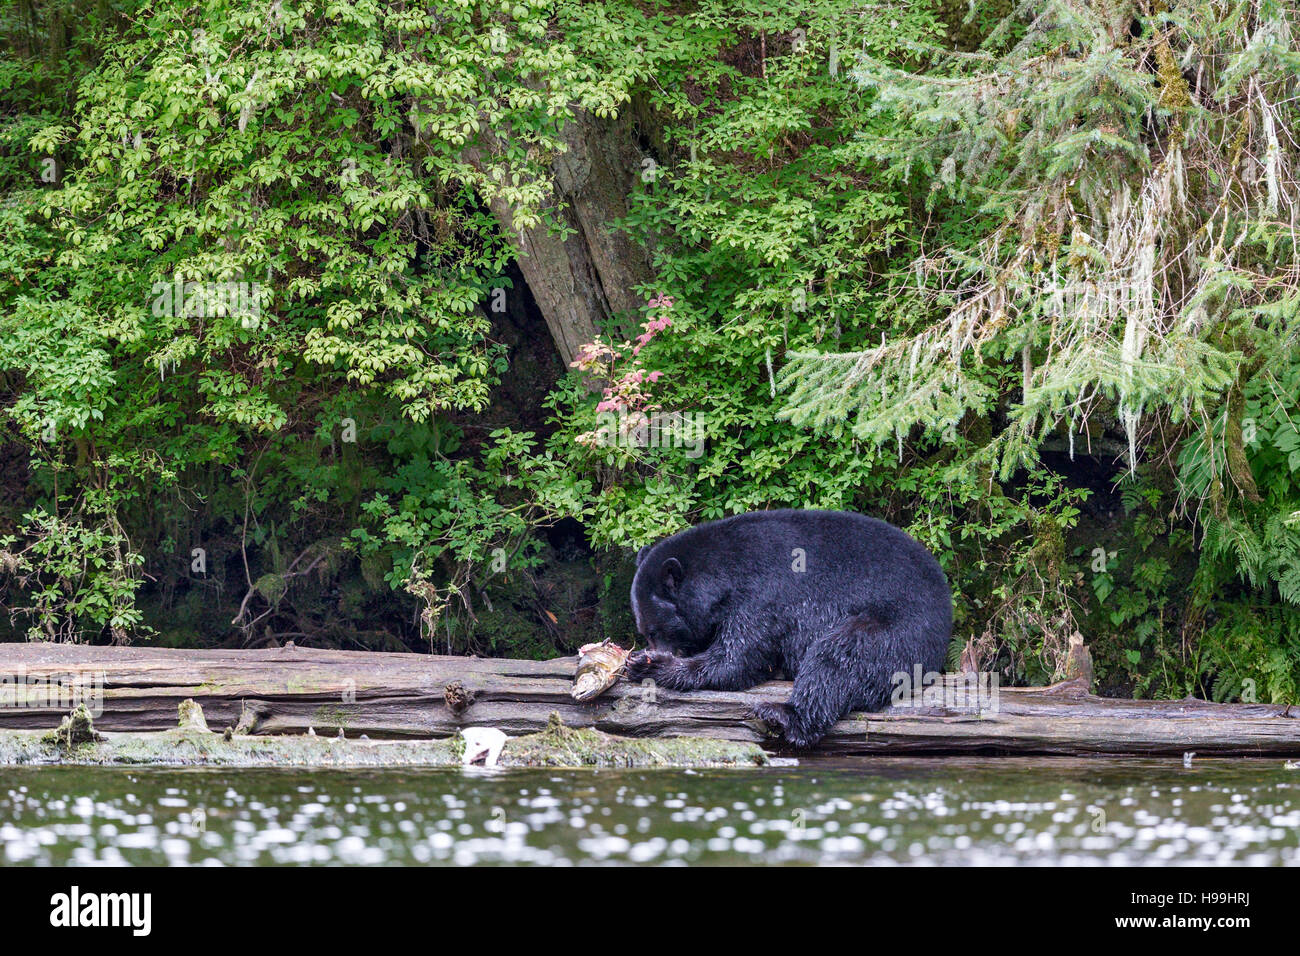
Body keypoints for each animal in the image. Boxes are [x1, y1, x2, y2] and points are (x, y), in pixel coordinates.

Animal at [624, 512, 951, 749]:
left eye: (655, 631)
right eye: (646, 631)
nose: (653, 648)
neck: (722, 574)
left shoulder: (763, 596)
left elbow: (736, 659)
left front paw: (651, 665)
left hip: (898, 624)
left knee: (840, 655)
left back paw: (784, 715)